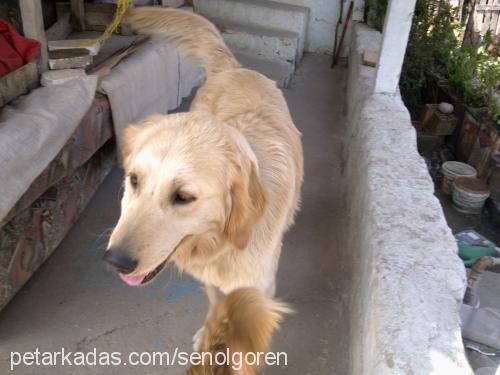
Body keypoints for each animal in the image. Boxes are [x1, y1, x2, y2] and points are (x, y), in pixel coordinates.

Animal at [103, 6, 302, 350]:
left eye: (183, 197)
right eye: (134, 180)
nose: (115, 261)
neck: (221, 242)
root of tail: (237, 69)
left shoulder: (260, 290)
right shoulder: (211, 278)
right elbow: (214, 302)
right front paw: (210, 333)